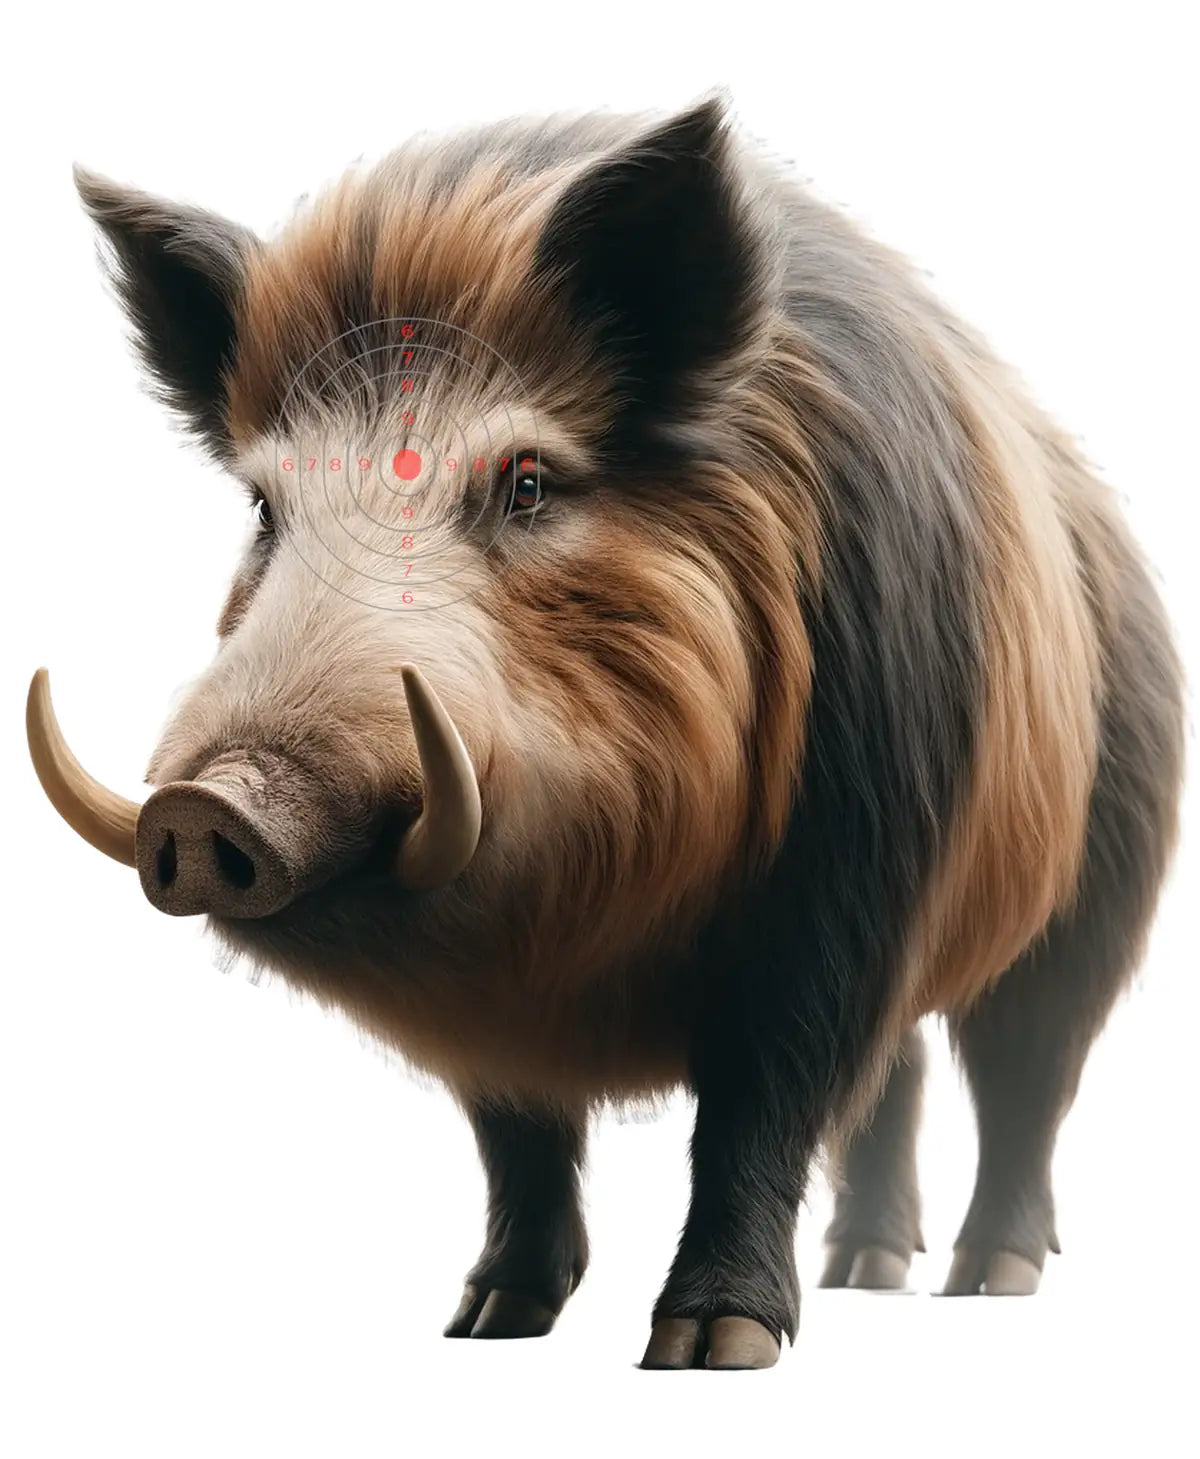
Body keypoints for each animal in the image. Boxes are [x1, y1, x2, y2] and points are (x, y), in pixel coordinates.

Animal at [27, 95, 1184, 1370]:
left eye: (527, 481)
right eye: (266, 507)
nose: (204, 804)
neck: (587, 918)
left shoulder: (853, 869)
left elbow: (760, 1103)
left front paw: (711, 1345)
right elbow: (518, 1132)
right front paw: (486, 1322)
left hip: (1094, 905)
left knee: (1025, 1078)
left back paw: (989, 1279)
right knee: (904, 1077)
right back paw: (867, 1272)